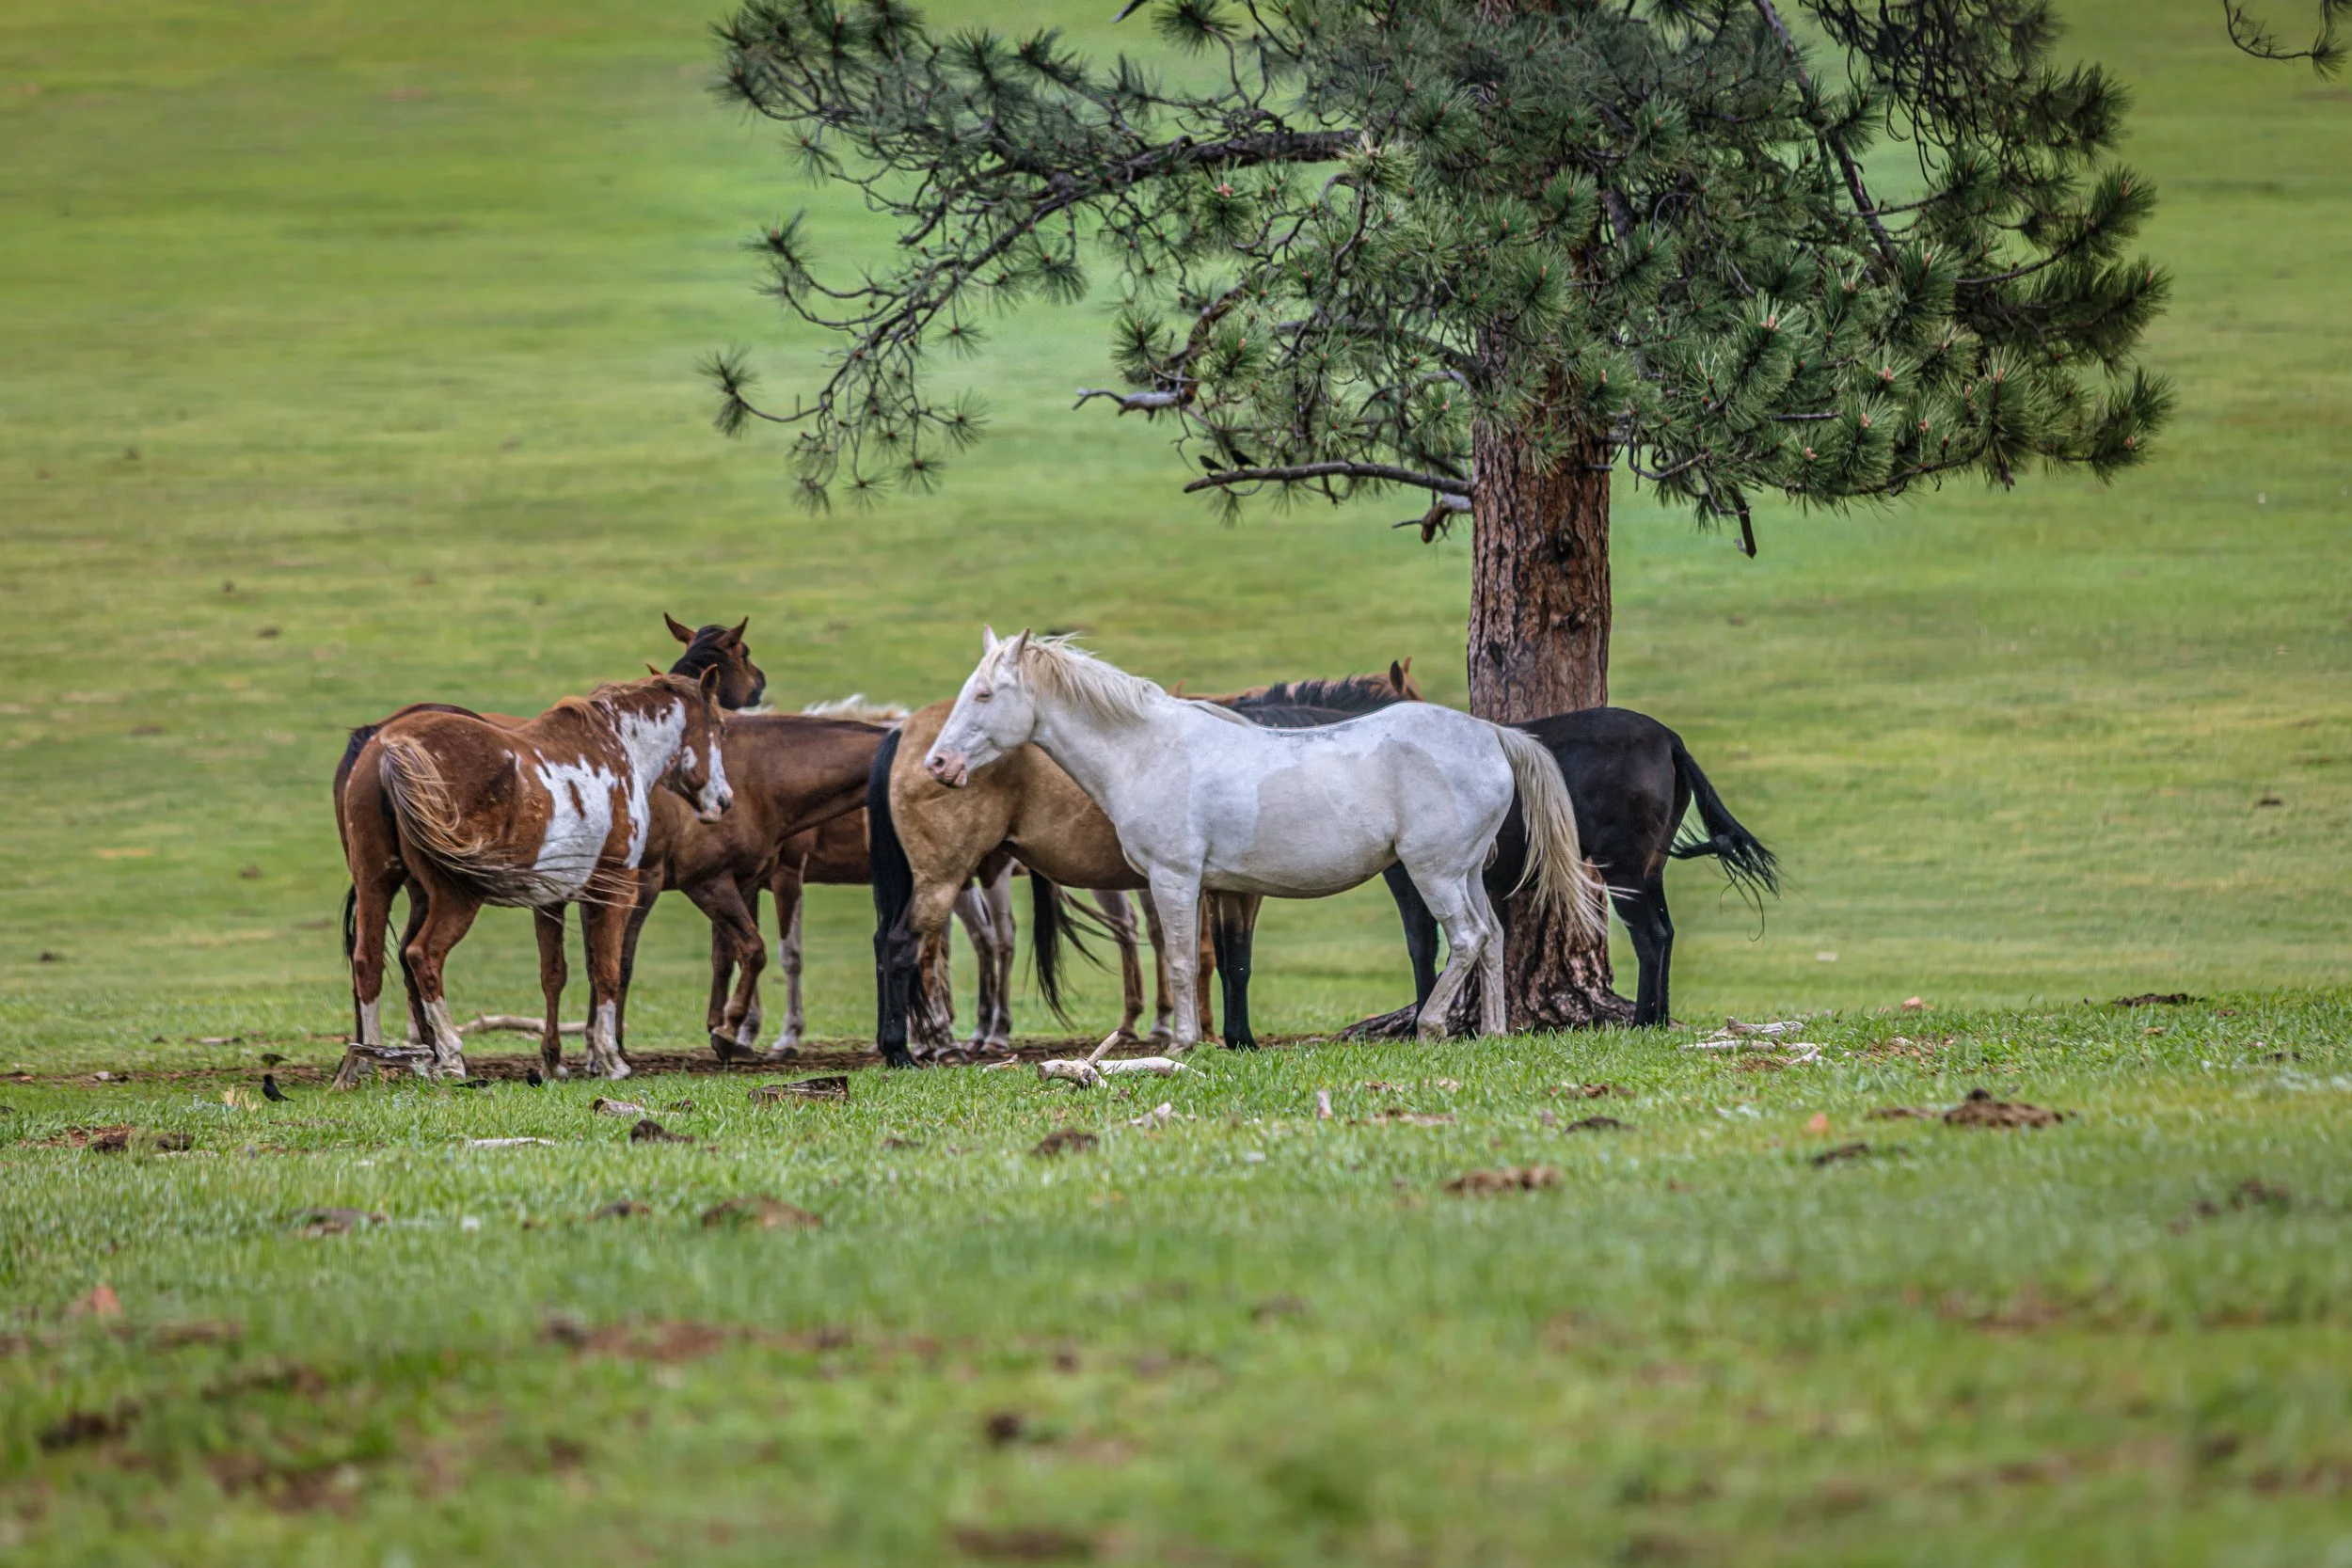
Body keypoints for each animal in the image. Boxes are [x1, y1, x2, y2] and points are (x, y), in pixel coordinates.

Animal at [330, 616, 765, 1058]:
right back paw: (448, 1051)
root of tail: (390, 746)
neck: (617, 745)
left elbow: (558, 972)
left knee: (371, 960)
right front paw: (609, 1051)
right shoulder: (628, 885)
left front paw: (561, 1057)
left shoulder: (555, 896)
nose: (724, 800)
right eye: (721, 728)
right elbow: (612, 967)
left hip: (380, 880)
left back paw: (378, 1052)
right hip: (454, 895)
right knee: (423, 954)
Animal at [922, 632, 1607, 1047]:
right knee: (1492, 938)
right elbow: (1218, 962)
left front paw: (1185, 1042)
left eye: (984, 694)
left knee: (1465, 938)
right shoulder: (1216, 888)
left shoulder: (1175, 879)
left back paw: (1433, 1023)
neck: (1148, 749)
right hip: (1462, 871)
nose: (938, 764)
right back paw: (1492, 1031)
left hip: (1432, 872)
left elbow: (1180, 959)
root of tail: (1490, 734)